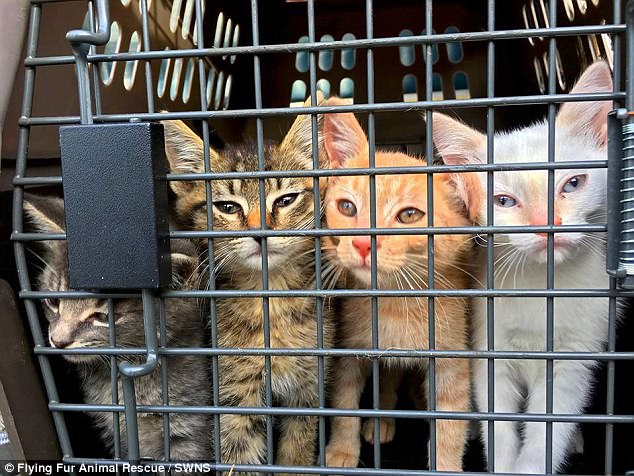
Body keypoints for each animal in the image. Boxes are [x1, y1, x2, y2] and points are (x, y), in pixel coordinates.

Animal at [160, 109, 334, 476]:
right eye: (227, 207)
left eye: (286, 200)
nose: (260, 232)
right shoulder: (234, 395)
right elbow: (237, 455)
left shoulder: (308, 389)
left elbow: (297, 452)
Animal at [320, 101, 474, 472]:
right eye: (347, 207)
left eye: (409, 216)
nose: (362, 243)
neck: (394, 302)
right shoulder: (349, 351)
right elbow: (344, 401)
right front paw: (342, 449)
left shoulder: (452, 362)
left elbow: (450, 423)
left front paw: (446, 465)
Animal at [432, 62, 616, 472]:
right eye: (504, 201)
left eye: (573, 183)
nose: (547, 225)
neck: (541, 284)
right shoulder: (489, 349)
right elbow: (497, 422)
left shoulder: (572, 359)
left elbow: (549, 428)